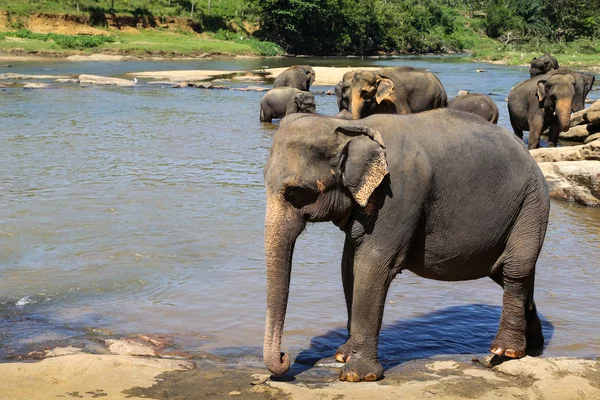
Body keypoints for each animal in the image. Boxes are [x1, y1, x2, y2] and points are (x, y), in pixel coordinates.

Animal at [262, 109, 548, 382]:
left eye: (295, 192)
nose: (286, 357)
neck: (351, 126)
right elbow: (348, 266)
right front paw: (343, 355)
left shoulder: (398, 192)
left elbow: (372, 265)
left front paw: (357, 374)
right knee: (510, 272)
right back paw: (532, 348)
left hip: (531, 202)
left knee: (515, 269)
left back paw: (504, 351)